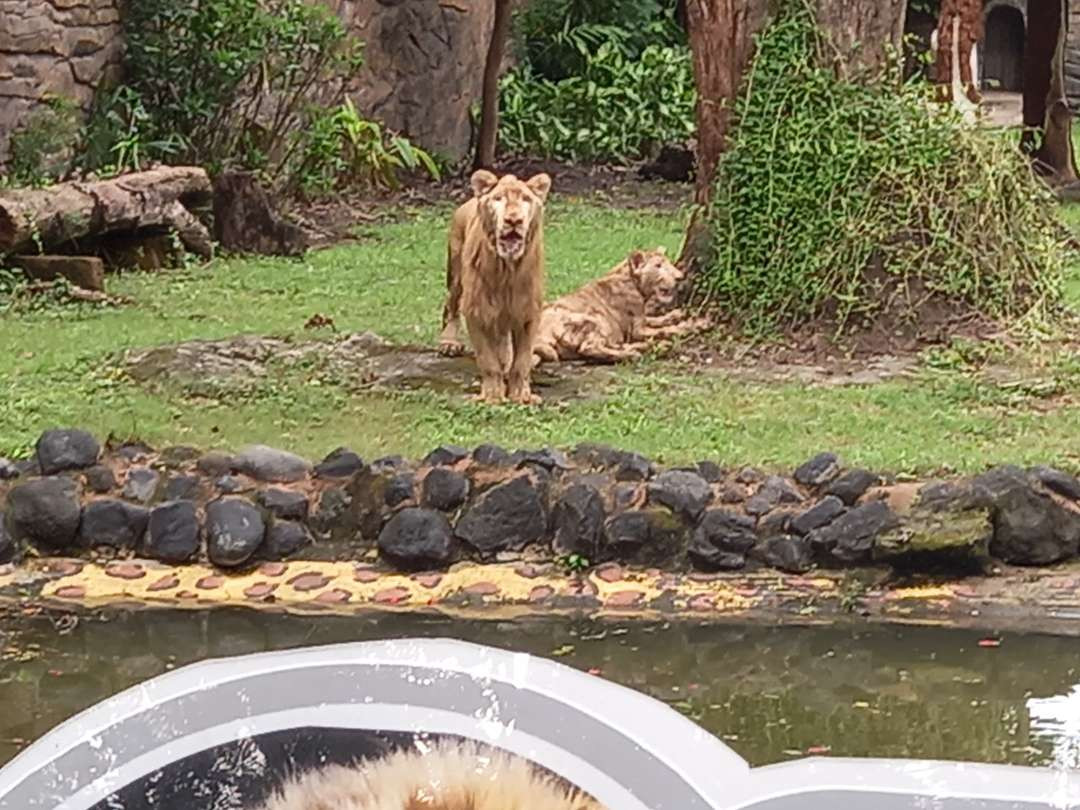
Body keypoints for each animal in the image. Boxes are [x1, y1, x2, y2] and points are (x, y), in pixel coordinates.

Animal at [436, 169, 552, 403]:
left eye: (526, 199)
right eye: (498, 199)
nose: (513, 220)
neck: (507, 269)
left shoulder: (528, 312)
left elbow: (522, 361)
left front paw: (521, 397)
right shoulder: (476, 310)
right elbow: (488, 361)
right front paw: (492, 397)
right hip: (456, 274)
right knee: (450, 305)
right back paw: (448, 343)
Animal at [531, 244, 708, 365]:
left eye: (668, 263)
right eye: (658, 265)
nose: (680, 276)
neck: (632, 280)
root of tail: (538, 336)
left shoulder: (640, 320)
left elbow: (659, 320)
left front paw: (677, 314)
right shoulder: (638, 329)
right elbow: (666, 329)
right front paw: (695, 324)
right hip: (594, 319)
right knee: (589, 348)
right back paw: (635, 353)